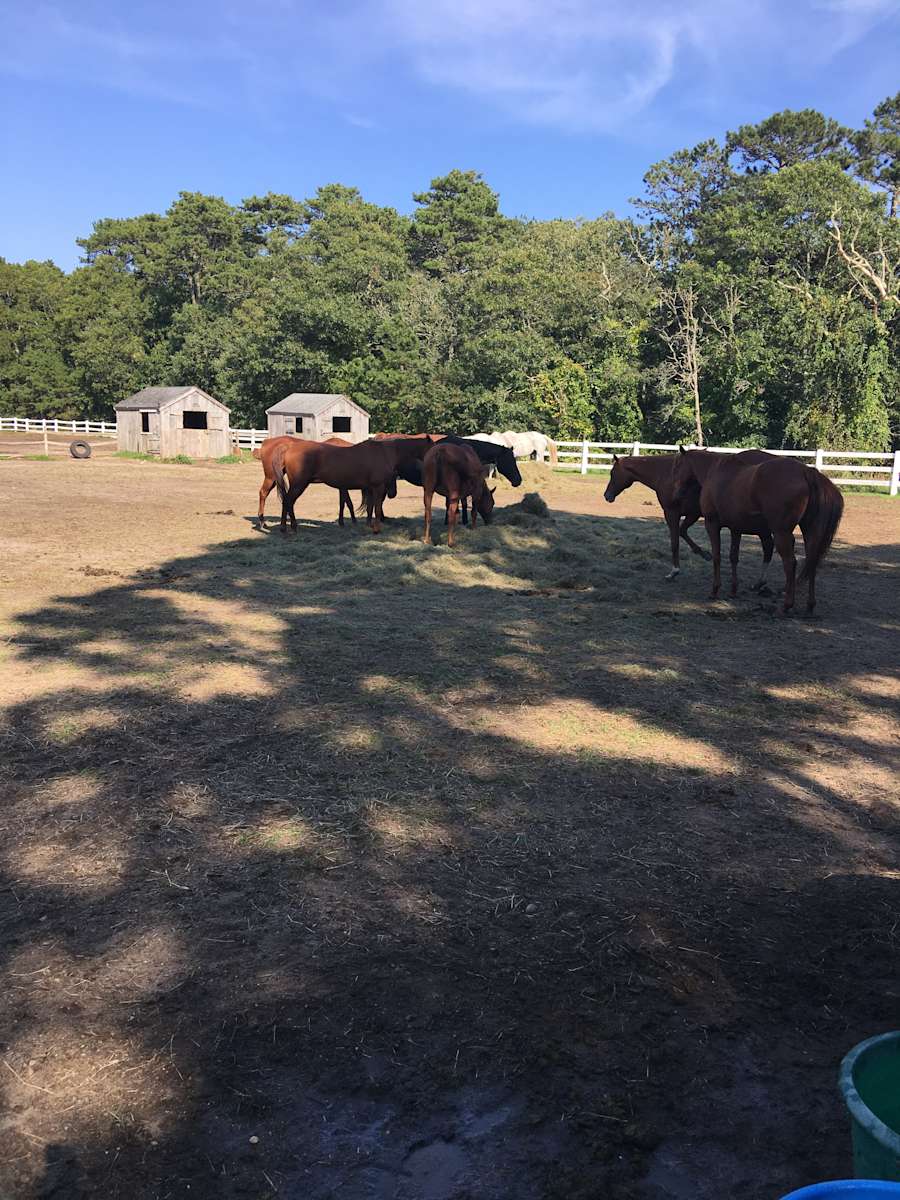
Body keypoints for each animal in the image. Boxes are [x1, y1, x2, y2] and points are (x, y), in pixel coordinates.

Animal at [273, 436, 432, 534]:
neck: (385, 453)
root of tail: (289, 448)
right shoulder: (377, 487)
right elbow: (377, 508)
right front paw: (376, 529)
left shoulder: (370, 488)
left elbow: (369, 508)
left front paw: (368, 525)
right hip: (299, 484)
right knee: (288, 501)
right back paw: (292, 527)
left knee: (286, 501)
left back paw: (284, 527)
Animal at [604, 453, 775, 584]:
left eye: (612, 473)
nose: (607, 496)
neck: (666, 474)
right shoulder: (692, 514)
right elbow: (682, 531)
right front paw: (703, 553)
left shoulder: (672, 513)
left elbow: (675, 542)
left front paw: (674, 571)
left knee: (768, 546)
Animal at [671, 448, 844, 613]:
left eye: (678, 466)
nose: (676, 493)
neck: (715, 471)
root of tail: (805, 471)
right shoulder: (736, 528)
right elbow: (733, 557)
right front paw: (733, 590)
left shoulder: (712, 524)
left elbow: (717, 556)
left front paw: (715, 590)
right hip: (809, 533)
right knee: (812, 562)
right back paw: (809, 605)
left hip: (781, 533)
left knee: (790, 563)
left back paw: (786, 605)